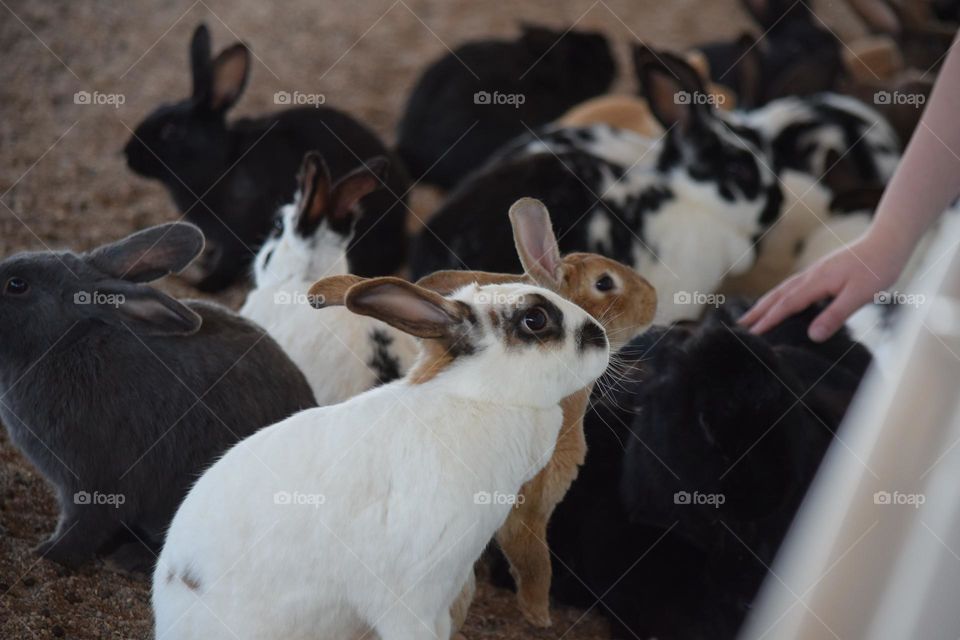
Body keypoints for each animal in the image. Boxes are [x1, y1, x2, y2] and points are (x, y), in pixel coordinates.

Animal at [0, 223, 315, 572]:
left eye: (17, 285)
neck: (64, 343)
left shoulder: (93, 482)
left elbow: (84, 526)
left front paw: (49, 552)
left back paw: (127, 558)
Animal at [124, 23, 409, 292]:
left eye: (172, 131)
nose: (127, 155)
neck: (221, 164)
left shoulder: (238, 235)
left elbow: (227, 265)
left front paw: (203, 286)